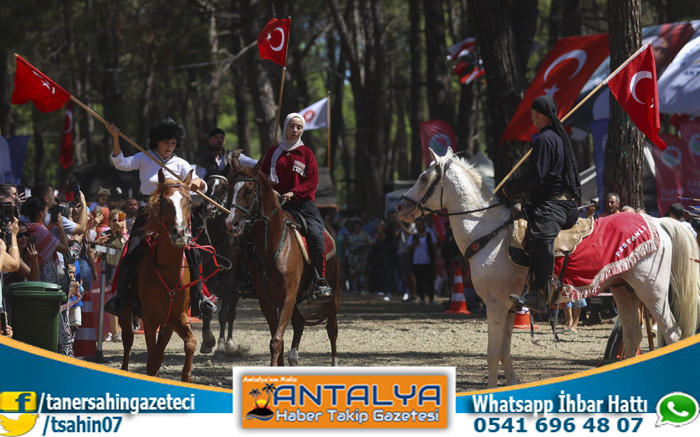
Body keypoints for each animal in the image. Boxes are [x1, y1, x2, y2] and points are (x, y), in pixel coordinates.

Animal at [119, 169, 198, 380]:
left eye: (189, 201)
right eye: (165, 201)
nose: (179, 233)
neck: (167, 270)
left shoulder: (175, 319)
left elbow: (190, 343)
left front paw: (186, 376)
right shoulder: (149, 319)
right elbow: (151, 361)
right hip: (125, 313)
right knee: (127, 344)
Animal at [221, 160, 336, 364]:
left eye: (249, 190)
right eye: (230, 188)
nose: (230, 223)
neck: (273, 247)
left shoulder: (287, 298)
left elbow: (276, 341)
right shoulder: (267, 301)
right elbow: (277, 340)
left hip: (333, 291)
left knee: (332, 329)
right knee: (299, 322)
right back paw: (294, 357)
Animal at [396, 148, 696, 386]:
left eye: (423, 178)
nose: (400, 208)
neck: (488, 232)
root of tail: (657, 222)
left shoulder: (495, 304)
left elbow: (492, 353)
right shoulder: (509, 307)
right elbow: (504, 351)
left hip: (652, 291)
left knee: (672, 332)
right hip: (625, 290)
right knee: (633, 337)